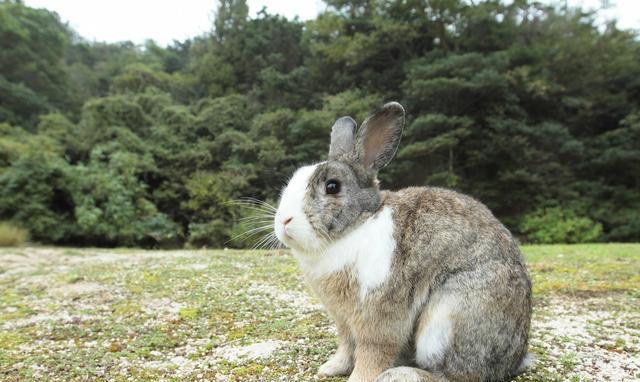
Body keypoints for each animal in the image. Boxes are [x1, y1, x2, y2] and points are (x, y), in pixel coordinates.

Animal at [272, 101, 532, 382]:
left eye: (332, 186)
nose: (284, 220)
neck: (357, 226)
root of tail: (512, 361)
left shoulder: (378, 317)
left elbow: (372, 352)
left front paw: (358, 378)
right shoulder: (343, 320)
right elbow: (346, 345)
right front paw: (331, 368)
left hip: (447, 319)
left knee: (454, 375)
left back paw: (402, 374)